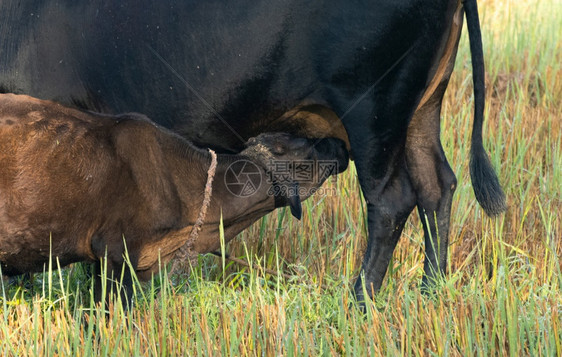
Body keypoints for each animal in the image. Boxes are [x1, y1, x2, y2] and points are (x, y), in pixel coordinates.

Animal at [0, 0, 506, 302]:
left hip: (373, 111)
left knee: (392, 200)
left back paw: (361, 300)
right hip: (421, 108)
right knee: (437, 186)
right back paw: (431, 291)